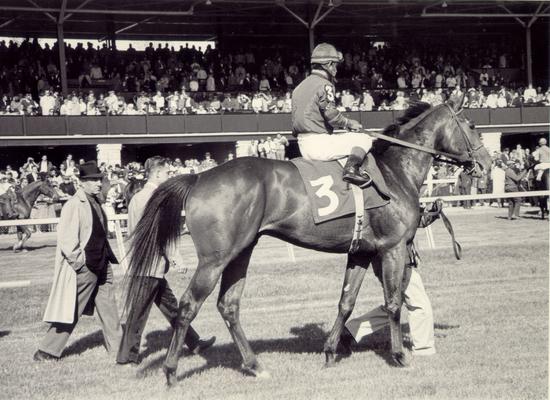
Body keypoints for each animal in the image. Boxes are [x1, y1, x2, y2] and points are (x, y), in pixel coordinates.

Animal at [127, 100, 494, 384]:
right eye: (472, 124)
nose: (487, 164)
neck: (393, 172)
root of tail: (199, 177)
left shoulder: (361, 253)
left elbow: (346, 302)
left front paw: (331, 351)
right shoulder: (393, 248)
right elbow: (392, 302)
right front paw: (400, 356)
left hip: (241, 253)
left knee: (228, 306)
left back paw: (256, 366)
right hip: (215, 259)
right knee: (189, 305)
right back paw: (171, 371)